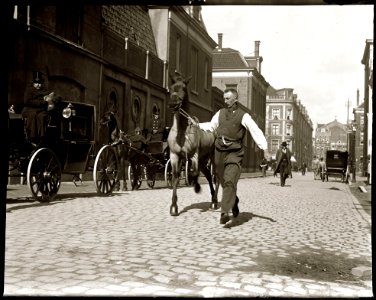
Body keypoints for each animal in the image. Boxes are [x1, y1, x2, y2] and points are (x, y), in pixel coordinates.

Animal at [167, 72, 220, 216]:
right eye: (171, 87)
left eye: (184, 88)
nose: (173, 104)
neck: (181, 132)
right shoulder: (174, 156)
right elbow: (175, 177)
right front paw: (174, 206)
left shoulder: (193, 156)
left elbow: (194, 173)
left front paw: (196, 186)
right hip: (203, 160)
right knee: (208, 176)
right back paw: (212, 199)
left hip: (213, 158)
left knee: (216, 177)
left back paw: (214, 201)